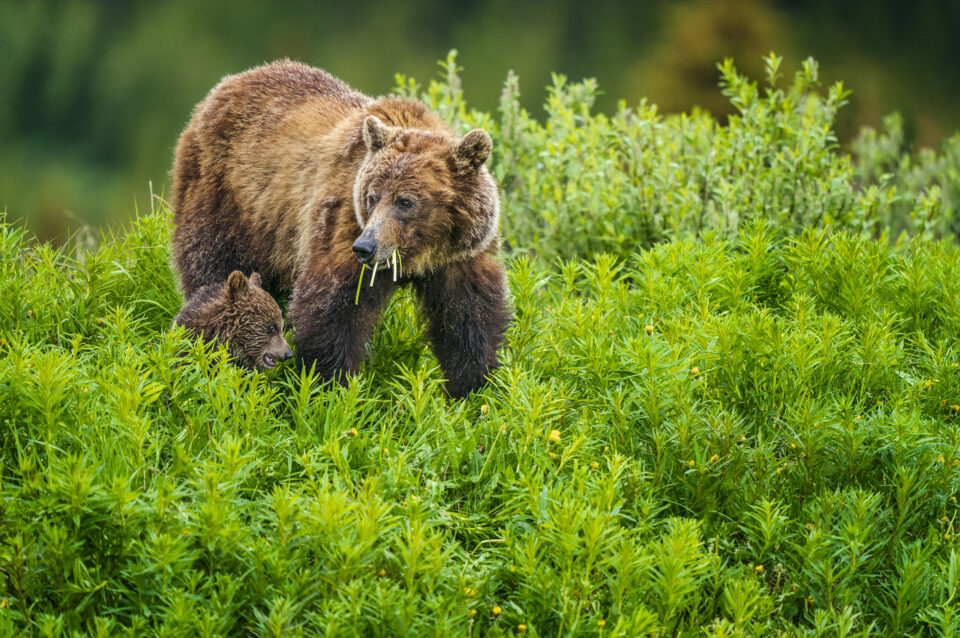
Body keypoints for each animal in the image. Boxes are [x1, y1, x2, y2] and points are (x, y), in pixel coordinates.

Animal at [171, 61, 510, 400]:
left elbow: (468, 321)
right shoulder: (342, 224)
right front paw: (329, 388)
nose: (366, 247)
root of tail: (224, 87)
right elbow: (332, 312)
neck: (418, 256)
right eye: (372, 197)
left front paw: (475, 389)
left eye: (405, 201)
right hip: (228, 202)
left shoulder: (461, 257)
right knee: (214, 265)